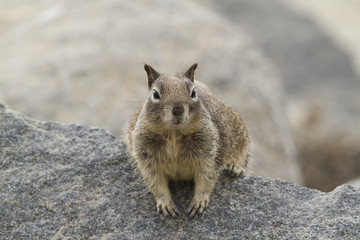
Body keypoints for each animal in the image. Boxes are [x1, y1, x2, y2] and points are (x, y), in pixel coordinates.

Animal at [126, 63, 250, 218]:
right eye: (155, 94)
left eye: (193, 92)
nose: (178, 109)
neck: (173, 133)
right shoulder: (146, 157)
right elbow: (155, 182)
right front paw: (165, 203)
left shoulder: (210, 153)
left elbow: (207, 178)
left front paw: (199, 201)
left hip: (241, 138)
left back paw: (235, 167)